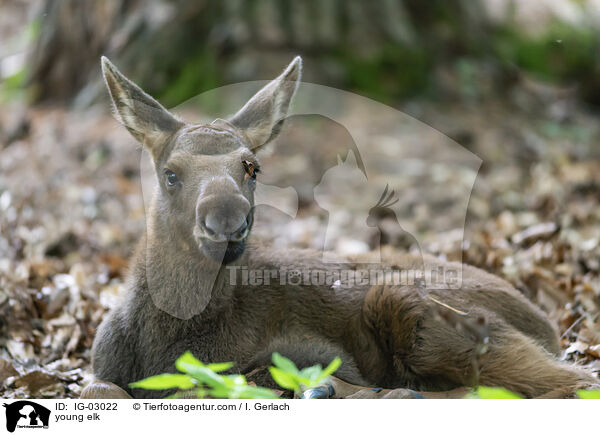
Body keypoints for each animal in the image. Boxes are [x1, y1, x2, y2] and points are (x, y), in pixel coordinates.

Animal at [82, 56, 596, 400]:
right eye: (171, 173)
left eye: (252, 168)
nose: (225, 221)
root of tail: (550, 326)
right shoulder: (101, 370)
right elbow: (100, 389)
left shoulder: (302, 351)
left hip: (418, 303)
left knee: (569, 382)